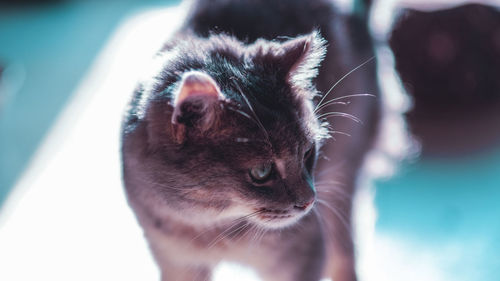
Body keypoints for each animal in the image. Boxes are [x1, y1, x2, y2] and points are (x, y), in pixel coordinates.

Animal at [123, 0, 380, 280]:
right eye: (261, 172)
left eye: (308, 153)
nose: (309, 202)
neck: (210, 226)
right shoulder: (178, 263)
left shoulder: (304, 254)